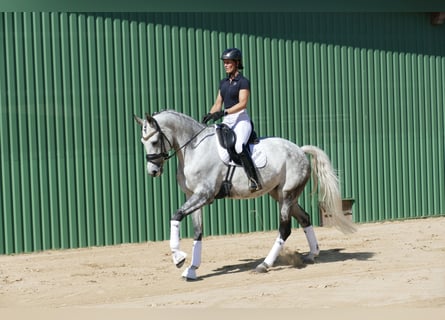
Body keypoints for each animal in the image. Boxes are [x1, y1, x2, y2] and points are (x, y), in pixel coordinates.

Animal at [134, 110, 356, 280]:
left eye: (155, 140)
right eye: (143, 142)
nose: (152, 171)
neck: (193, 149)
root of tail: (299, 150)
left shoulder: (204, 195)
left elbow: (176, 215)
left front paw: (178, 258)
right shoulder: (193, 196)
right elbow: (197, 233)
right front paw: (192, 269)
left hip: (287, 195)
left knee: (284, 229)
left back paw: (264, 265)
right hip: (281, 195)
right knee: (305, 218)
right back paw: (312, 254)